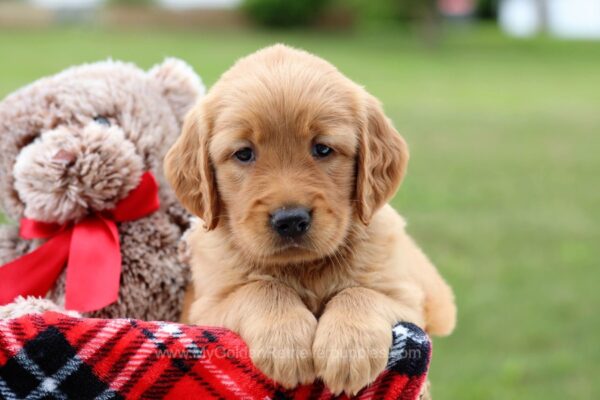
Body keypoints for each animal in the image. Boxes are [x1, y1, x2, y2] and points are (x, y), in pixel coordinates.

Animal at [164, 45, 454, 396]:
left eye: (323, 149)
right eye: (244, 154)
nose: (290, 220)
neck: (303, 268)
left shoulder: (406, 300)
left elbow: (361, 292)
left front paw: (349, 348)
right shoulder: (204, 308)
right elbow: (261, 287)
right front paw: (286, 342)